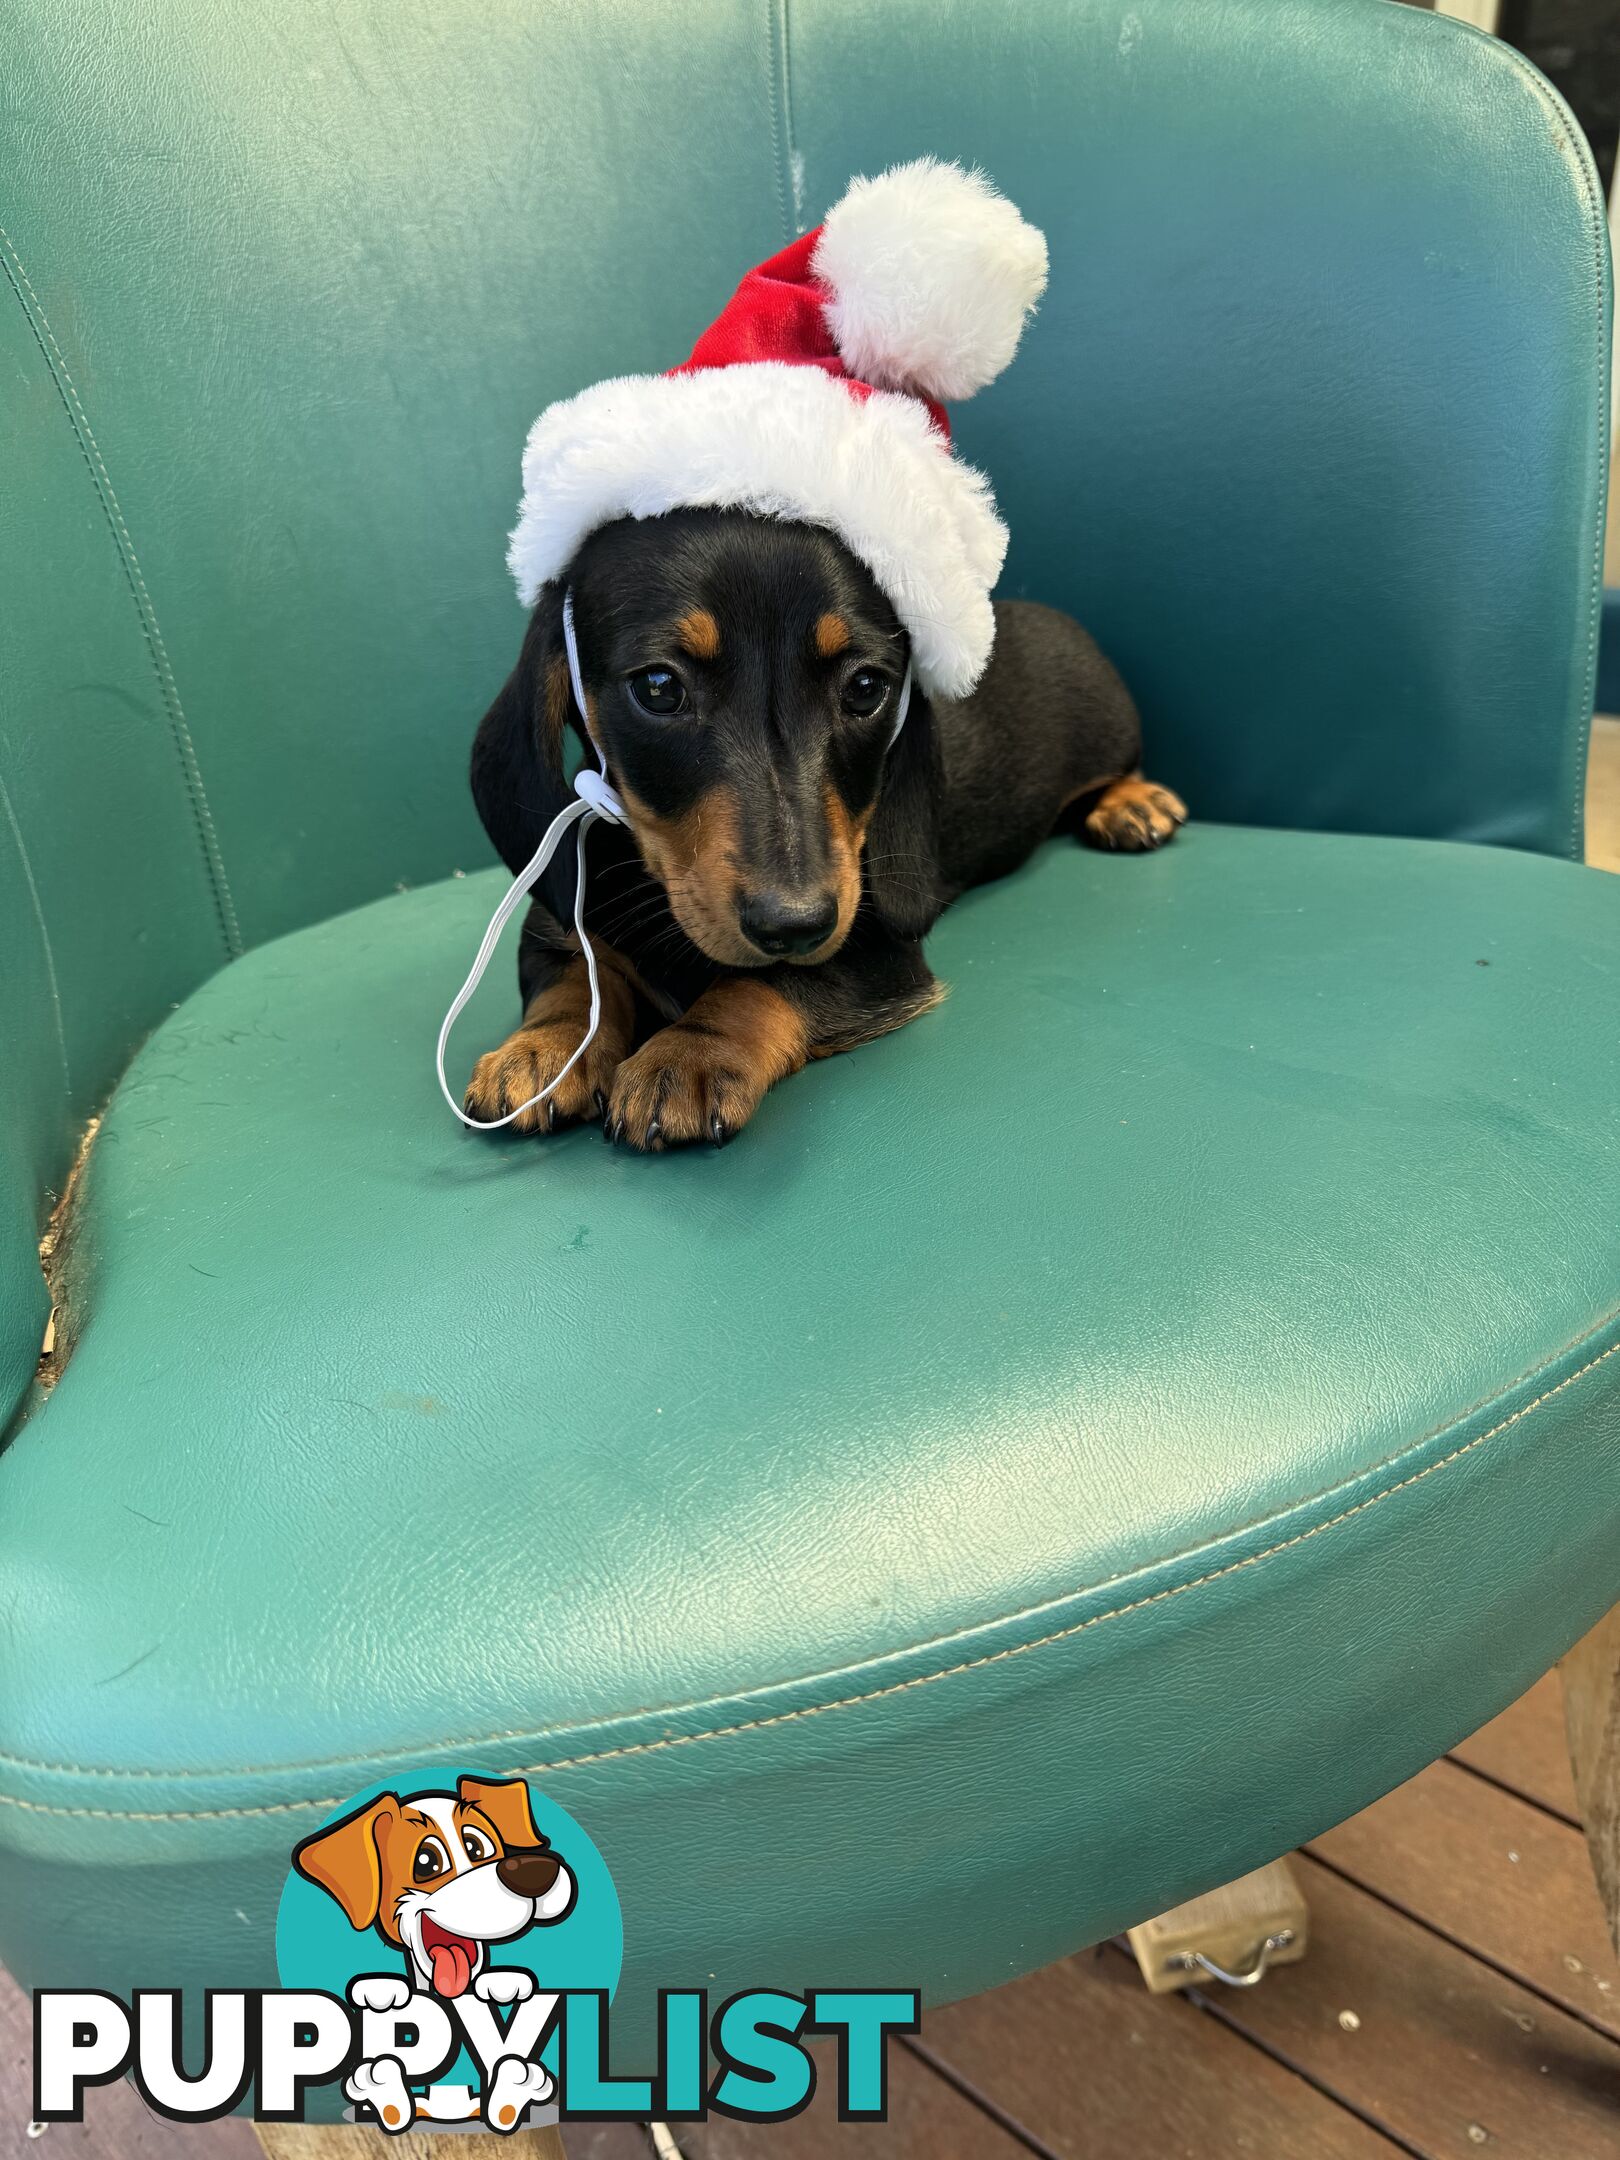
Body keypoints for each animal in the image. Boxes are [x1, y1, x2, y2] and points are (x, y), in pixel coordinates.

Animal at [462, 503, 1183, 1149]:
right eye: (659, 687)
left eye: (866, 687)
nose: (796, 923)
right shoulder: (557, 921)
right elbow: (573, 980)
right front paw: (544, 1050)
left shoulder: (875, 941)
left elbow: (763, 981)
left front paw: (688, 1054)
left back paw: (1131, 803)